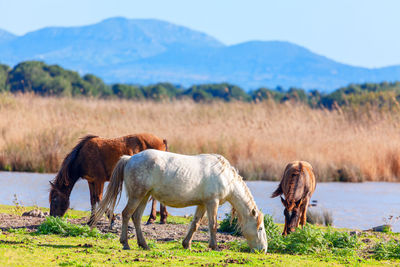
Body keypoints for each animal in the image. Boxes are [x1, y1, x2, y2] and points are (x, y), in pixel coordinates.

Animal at [90, 151, 266, 253]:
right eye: (260, 228)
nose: (263, 250)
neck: (225, 175)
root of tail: (130, 158)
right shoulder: (212, 202)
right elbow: (213, 225)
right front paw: (215, 246)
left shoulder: (202, 204)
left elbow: (195, 224)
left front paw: (186, 244)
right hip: (137, 195)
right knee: (126, 214)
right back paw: (125, 243)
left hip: (145, 196)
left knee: (136, 217)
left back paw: (144, 244)